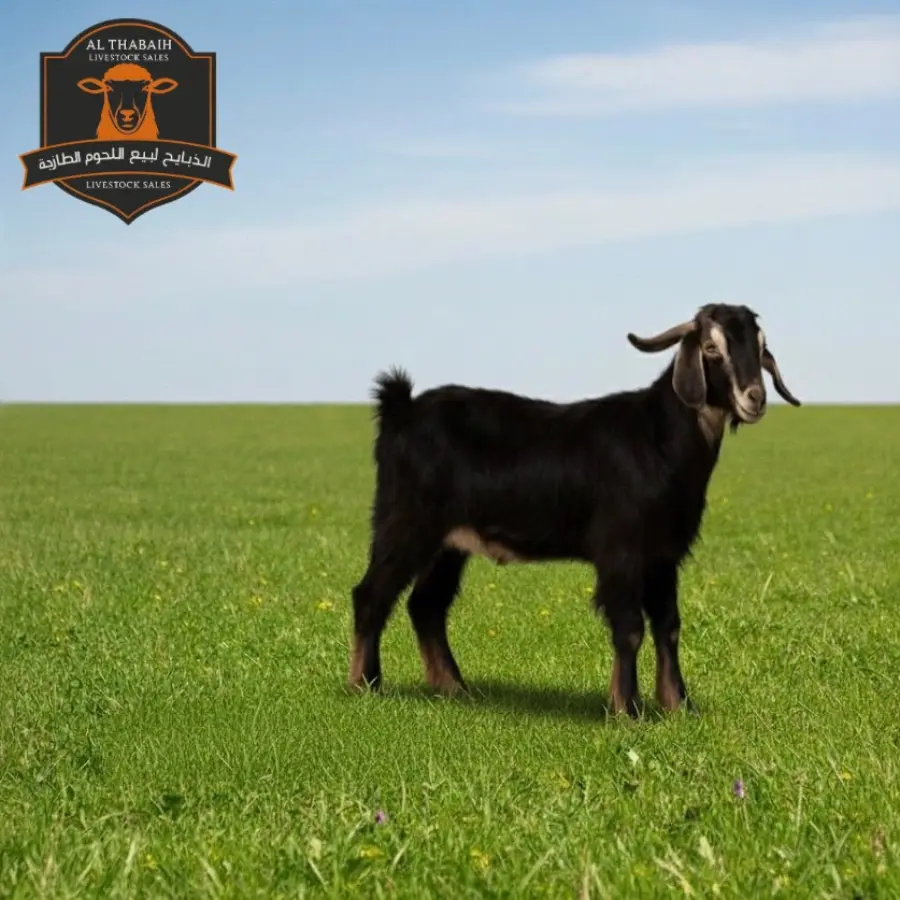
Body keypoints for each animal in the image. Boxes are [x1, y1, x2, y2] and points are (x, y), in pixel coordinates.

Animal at [349, 304, 801, 716]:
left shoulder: (663, 554)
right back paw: (365, 685)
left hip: (449, 543)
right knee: (371, 594)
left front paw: (678, 706)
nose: (755, 399)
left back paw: (454, 688)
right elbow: (630, 627)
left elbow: (668, 626)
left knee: (426, 605)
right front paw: (626, 708)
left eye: (761, 347)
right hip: (405, 522)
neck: (658, 439)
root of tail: (401, 410)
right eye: (711, 347)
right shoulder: (620, 549)